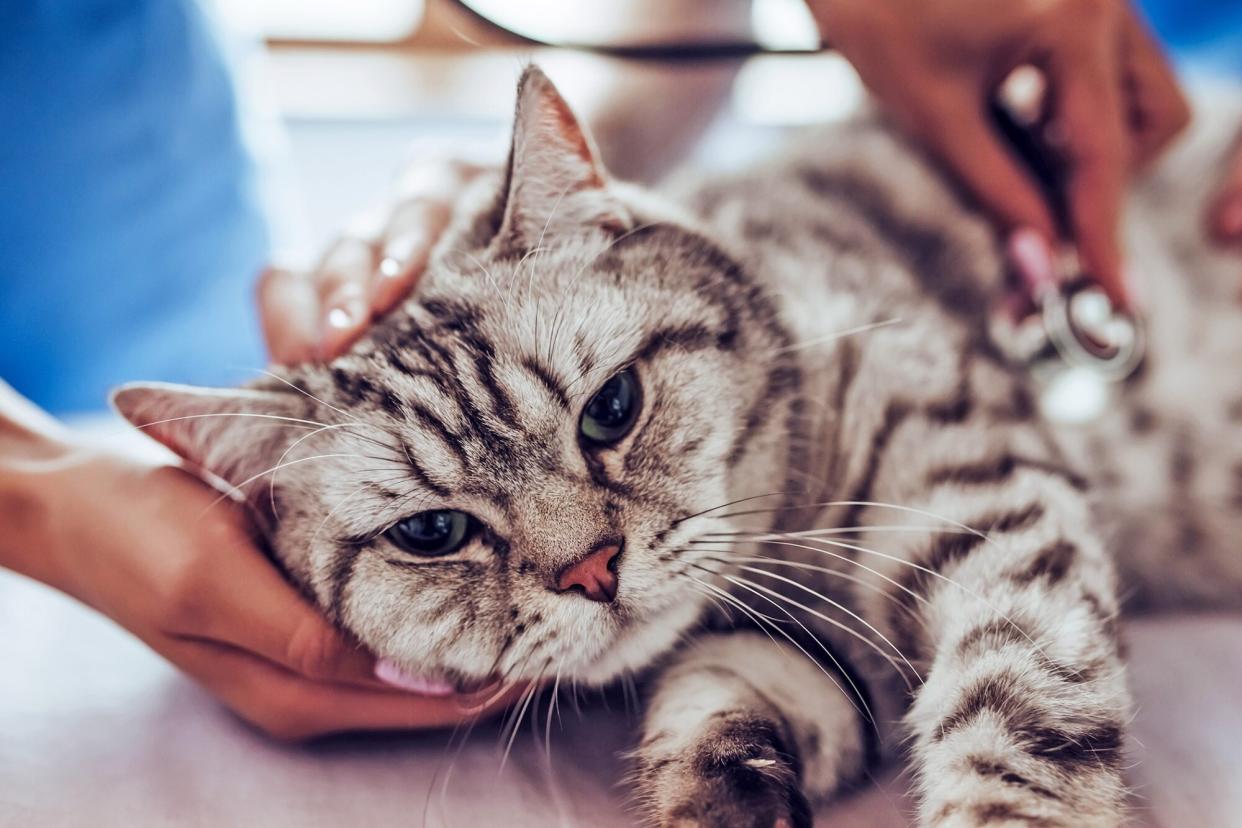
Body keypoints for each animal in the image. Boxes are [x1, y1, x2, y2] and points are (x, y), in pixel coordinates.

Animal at [111, 66, 1237, 828]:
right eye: (433, 533)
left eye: (611, 409)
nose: (593, 571)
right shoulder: (803, 657)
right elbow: (713, 710)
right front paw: (721, 794)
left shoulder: (992, 512)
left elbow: (1011, 716)